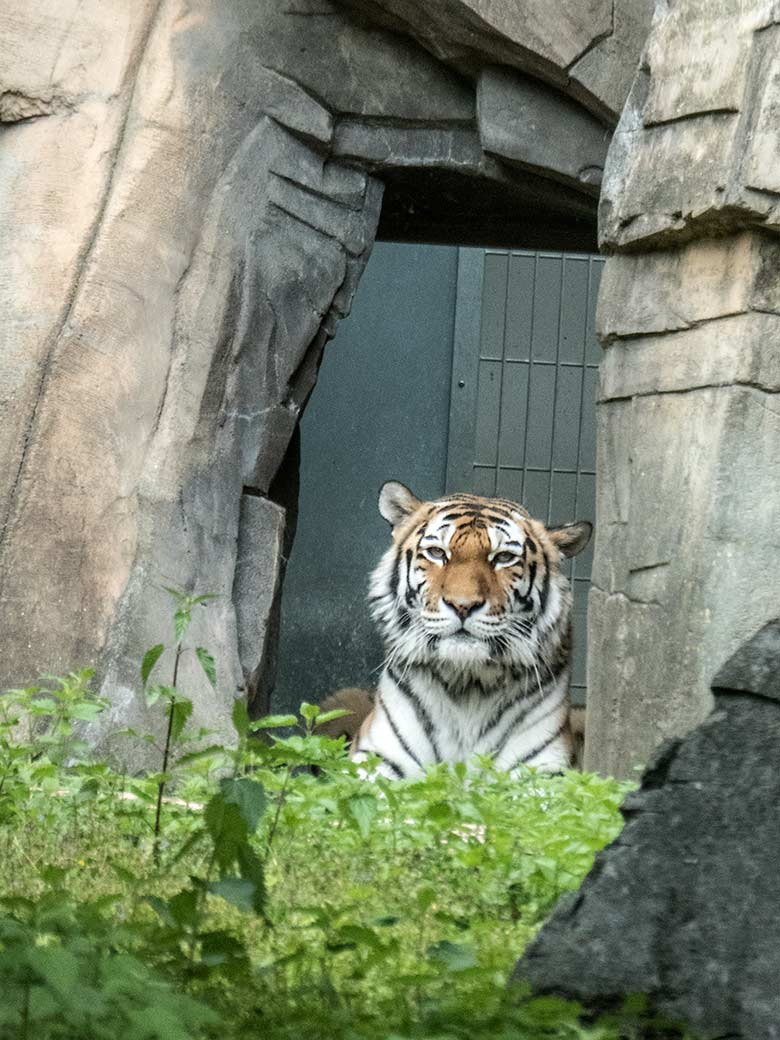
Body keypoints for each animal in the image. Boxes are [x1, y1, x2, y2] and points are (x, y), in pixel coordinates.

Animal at [326, 482, 590, 777]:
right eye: (437, 553)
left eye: (503, 557)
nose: (463, 605)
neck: (466, 684)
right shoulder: (378, 758)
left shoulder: (543, 770)